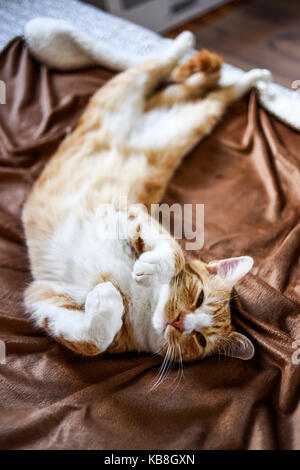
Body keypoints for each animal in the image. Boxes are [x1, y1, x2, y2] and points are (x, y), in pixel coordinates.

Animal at [22, 32, 272, 364]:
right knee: (164, 68)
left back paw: (252, 77)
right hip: (125, 89)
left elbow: (94, 341)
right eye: (199, 297)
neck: (142, 300)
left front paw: (106, 299)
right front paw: (143, 273)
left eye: (200, 339)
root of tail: (152, 112)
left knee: (217, 93)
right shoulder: (125, 213)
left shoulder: (44, 298)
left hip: (197, 118)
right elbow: (174, 253)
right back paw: (185, 42)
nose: (180, 322)